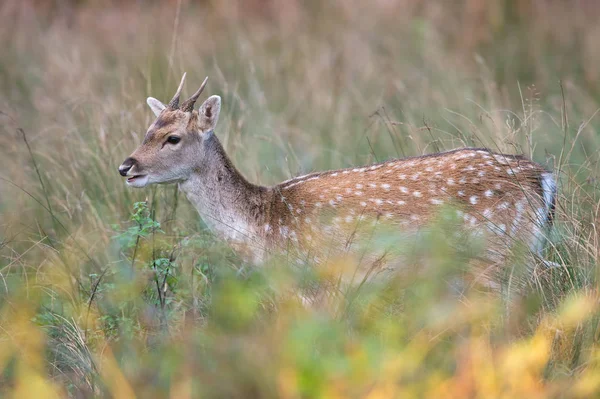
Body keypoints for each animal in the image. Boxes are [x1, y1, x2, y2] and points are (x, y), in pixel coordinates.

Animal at [118, 74, 556, 294]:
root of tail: (544, 178)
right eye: (146, 130)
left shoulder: (317, 277)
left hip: (498, 256)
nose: (126, 166)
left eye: (173, 138)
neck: (262, 225)